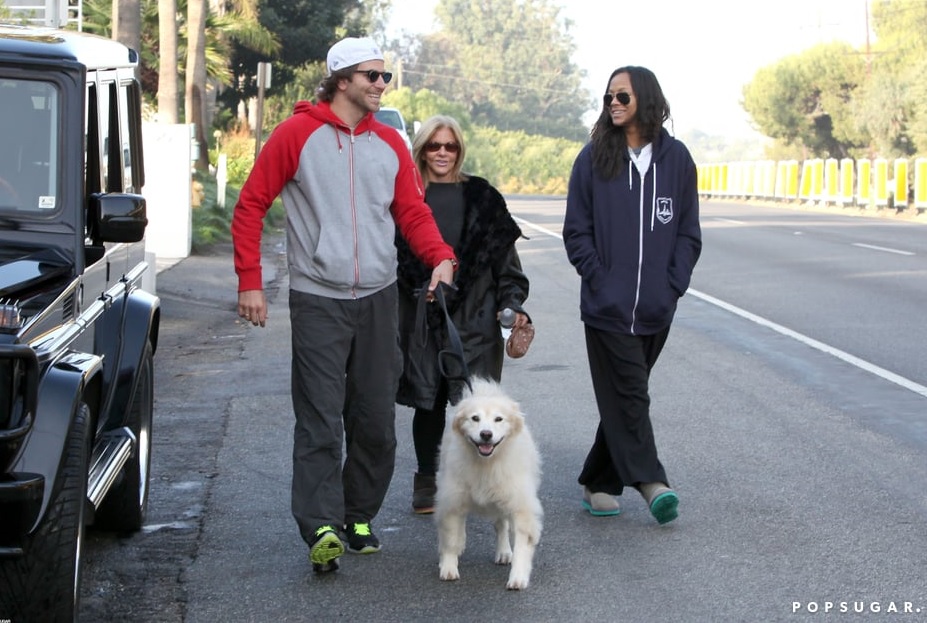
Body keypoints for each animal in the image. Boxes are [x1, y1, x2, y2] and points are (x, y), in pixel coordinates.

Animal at [436, 380, 544, 588]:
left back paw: (503, 552)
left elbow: (521, 545)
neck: (487, 463)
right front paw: (449, 567)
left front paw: (518, 577)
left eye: (498, 419)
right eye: (475, 418)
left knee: (501, 525)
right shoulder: (452, 499)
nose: (486, 434)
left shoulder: (520, 505)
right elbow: (451, 537)